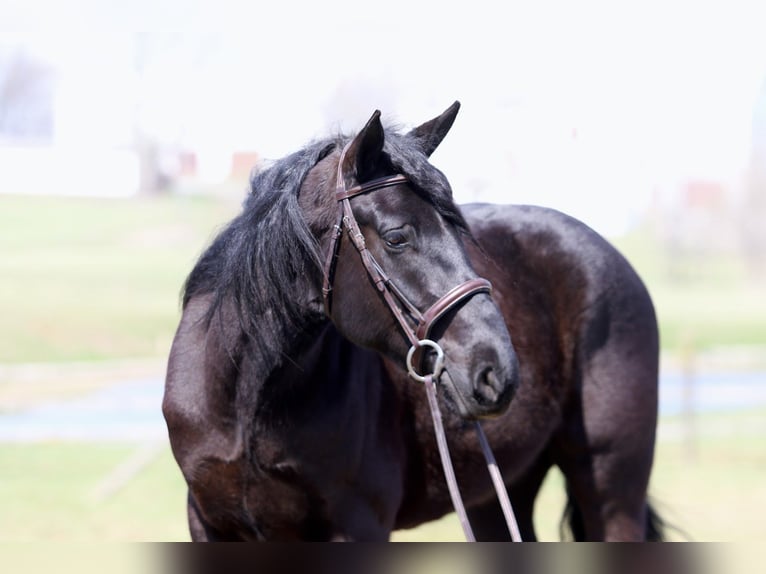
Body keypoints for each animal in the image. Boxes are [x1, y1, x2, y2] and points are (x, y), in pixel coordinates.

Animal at [162, 102, 663, 541]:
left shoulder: (358, 528)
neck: (246, 401)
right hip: (501, 493)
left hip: (612, 491)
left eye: (458, 228)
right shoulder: (208, 525)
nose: (496, 371)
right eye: (397, 237)